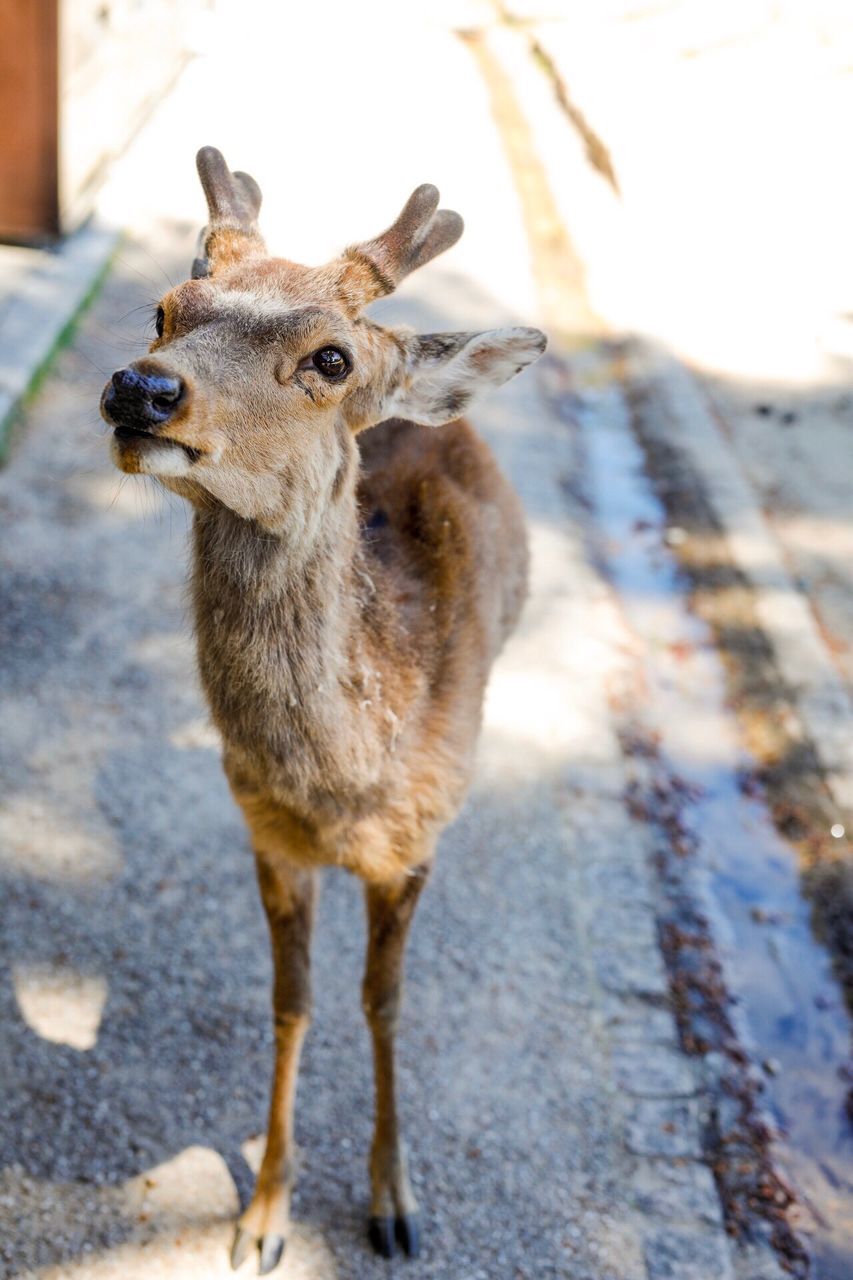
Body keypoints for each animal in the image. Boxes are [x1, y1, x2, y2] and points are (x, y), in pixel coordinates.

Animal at [99, 147, 545, 1269]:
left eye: (331, 359)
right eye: (164, 310)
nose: (141, 387)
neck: (346, 779)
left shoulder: (416, 842)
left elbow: (383, 1003)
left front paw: (393, 1200)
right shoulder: (265, 832)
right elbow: (291, 1002)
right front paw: (262, 1216)